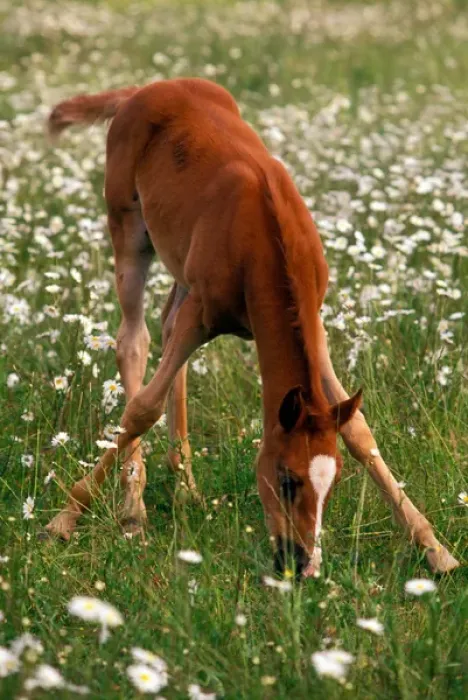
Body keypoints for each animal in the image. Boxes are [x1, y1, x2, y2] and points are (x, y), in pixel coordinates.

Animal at [44, 78, 458, 577]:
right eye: (286, 478)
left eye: (334, 482)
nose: (302, 563)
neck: (264, 236)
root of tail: (144, 89)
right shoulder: (203, 312)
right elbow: (143, 408)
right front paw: (66, 517)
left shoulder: (315, 324)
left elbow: (359, 430)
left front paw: (433, 545)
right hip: (127, 226)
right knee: (134, 340)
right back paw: (133, 511)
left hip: (180, 269)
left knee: (166, 332)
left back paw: (185, 487)